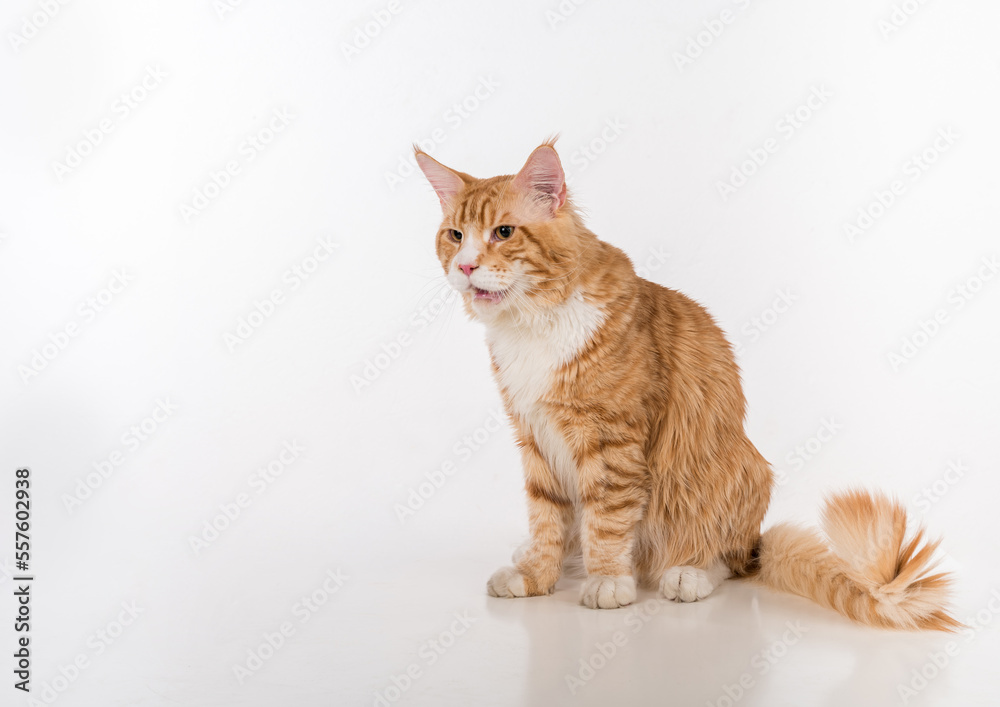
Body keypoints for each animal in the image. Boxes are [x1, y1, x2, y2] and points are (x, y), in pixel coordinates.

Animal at [416, 138, 960, 632]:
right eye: (455, 235)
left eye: (504, 232)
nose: (465, 266)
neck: (530, 324)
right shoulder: (534, 435)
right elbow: (548, 517)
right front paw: (536, 574)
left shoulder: (611, 440)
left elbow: (607, 520)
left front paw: (608, 579)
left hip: (732, 472)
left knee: (729, 559)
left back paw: (686, 573)